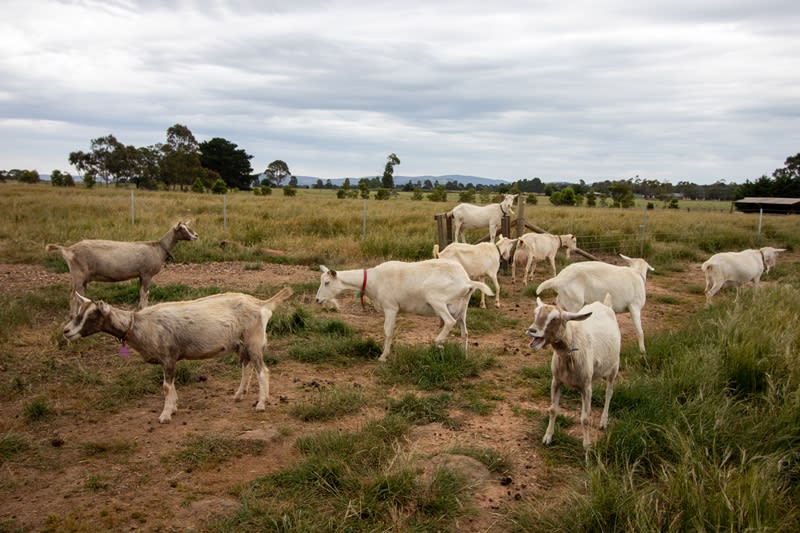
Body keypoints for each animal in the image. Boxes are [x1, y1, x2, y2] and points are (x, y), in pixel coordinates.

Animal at [47, 221, 198, 316]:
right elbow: (145, 294)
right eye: (182, 229)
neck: (159, 248)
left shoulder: (141, 275)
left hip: (81, 278)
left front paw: (139, 309)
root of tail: (68, 250)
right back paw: (73, 316)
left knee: (78, 296)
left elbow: (141, 293)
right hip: (78, 275)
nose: (196, 235)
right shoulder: (147, 274)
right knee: (73, 297)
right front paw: (144, 309)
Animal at [62, 287, 293, 423]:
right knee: (247, 367)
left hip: (254, 342)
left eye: (91, 315)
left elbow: (166, 387)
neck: (138, 324)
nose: (66, 331)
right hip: (242, 344)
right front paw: (172, 408)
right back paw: (239, 395)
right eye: (79, 312)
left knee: (263, 371)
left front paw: (165, 415)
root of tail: (261, 304)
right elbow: (170, 386)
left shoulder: (168, 357)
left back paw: (261, 404)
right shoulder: (169, 360)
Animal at [315, 260, 493, 361]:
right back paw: (463, 355)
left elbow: (388, 332)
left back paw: (438, 343)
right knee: (465, 332)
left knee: (449, 321)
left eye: (327, 283)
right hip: (462, 307)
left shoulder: (391, 307)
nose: (317, 300)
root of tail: (467, 282)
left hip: (436, 298)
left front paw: (383, 356)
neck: (373, 280)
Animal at [527, 294, 620, 449]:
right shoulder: (556, 381)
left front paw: (587, 447)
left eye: (554, 318)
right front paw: (547, 437)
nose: (532, 330)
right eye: (535, 313)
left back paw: (603, 422)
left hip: (614, 367)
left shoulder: (586, 386)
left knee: (609, 393)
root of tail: (604, 304)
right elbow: (553, 410)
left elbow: (585, 419)